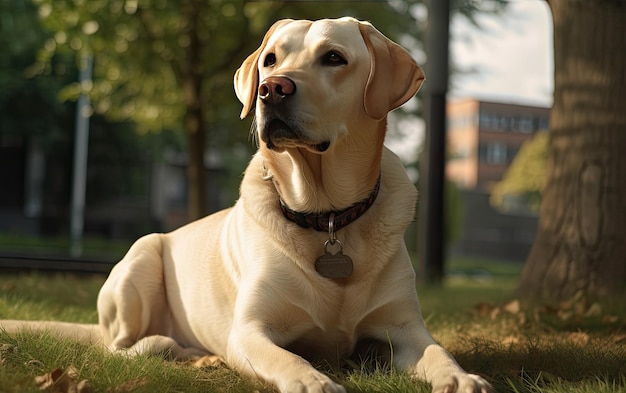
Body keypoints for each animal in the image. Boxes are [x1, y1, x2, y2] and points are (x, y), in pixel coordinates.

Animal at [0, 17, 490, 392]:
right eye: (271, 59)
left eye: (334, 58)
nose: (271, 89)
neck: (327, 216)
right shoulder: (250, 331)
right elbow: (288, 359)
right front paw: (312, 380)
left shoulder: (404, 329)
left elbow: (438, 352)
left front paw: (462, 377)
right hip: (140, 259)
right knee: (119, 347)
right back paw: (168, 346)